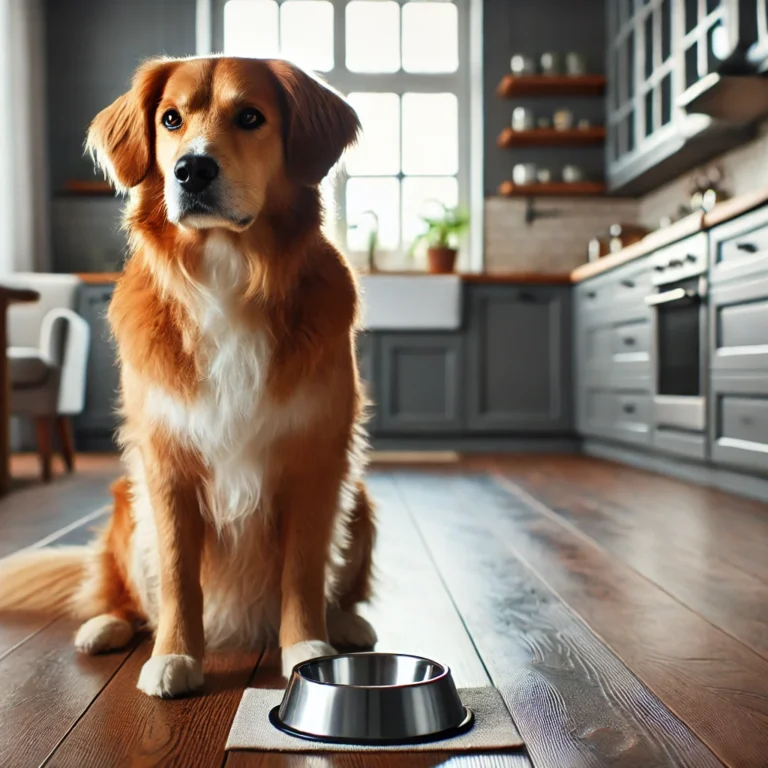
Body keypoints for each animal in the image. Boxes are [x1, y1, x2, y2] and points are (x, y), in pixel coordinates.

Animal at [0, 57, 378, 700]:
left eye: (250, 116)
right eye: (171, 120)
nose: (192, 169)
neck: (230, 271)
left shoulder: (317, 459)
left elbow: (303, 569)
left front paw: (305, 648)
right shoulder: (166, 463)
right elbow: (179, 576)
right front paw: (175, 655)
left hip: (360, 505)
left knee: (341, 584)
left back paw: (347, 622)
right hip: (128, 509)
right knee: (120, 593)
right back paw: (107, 626)